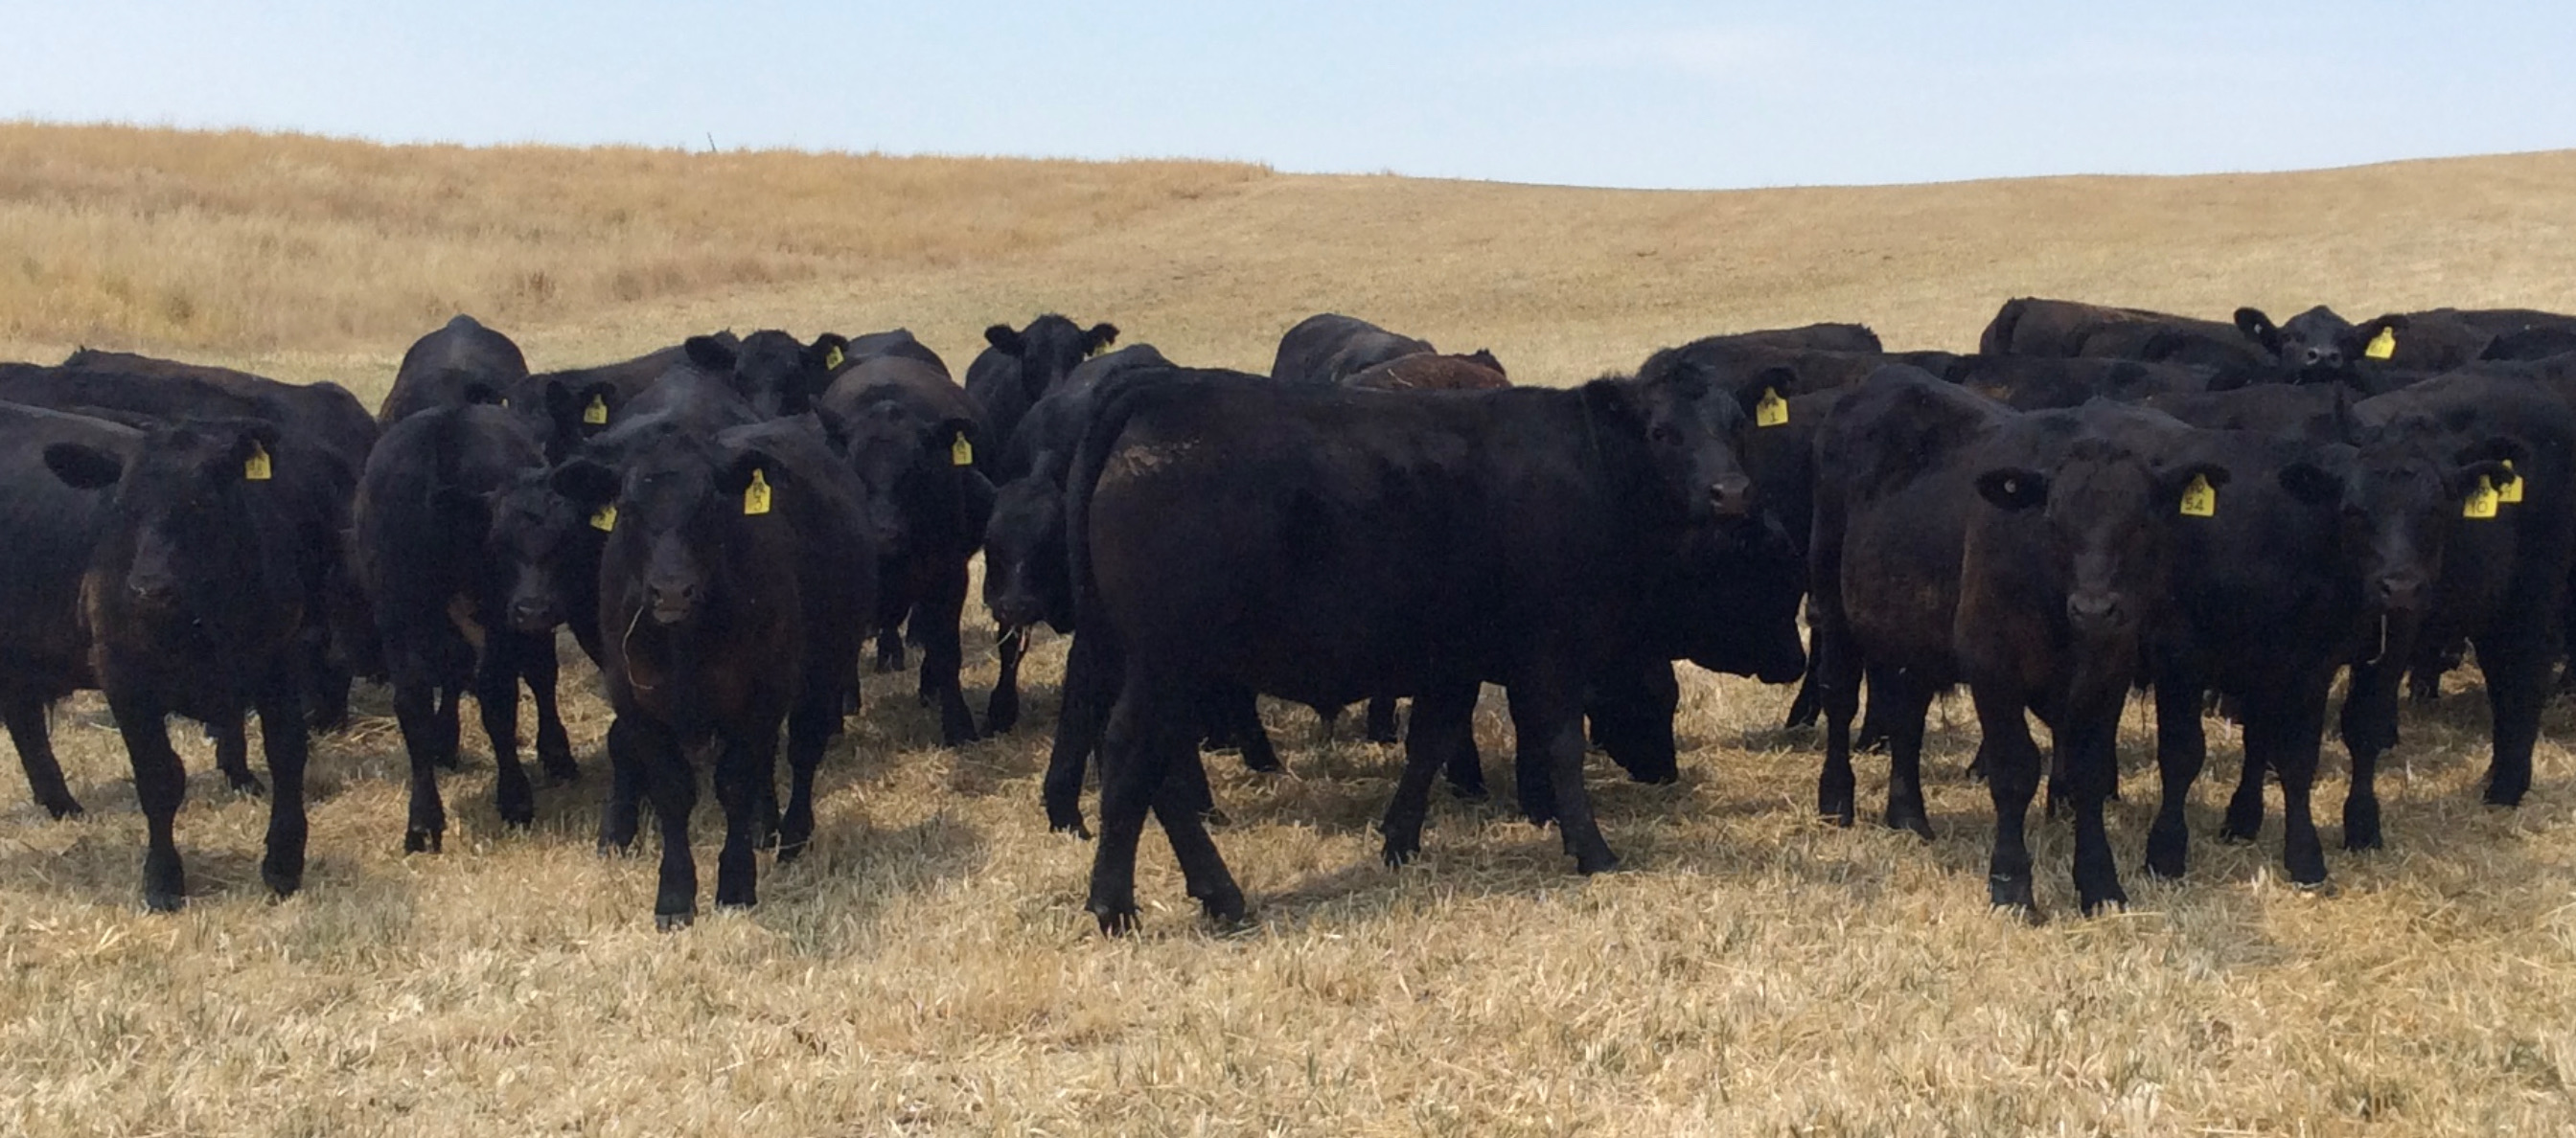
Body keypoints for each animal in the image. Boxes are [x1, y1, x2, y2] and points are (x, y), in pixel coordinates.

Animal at [43, 417, 315, 911]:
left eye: (201, 503)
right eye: (123, 506)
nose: (149, 588)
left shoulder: (281, 661)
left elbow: (287, 755)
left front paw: (284, 863)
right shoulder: (123, 679)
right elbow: (158, 776)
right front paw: (163, 879)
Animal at [547, 414, 877, 926]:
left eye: (708, 505)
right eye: (627, 507)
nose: (672, 591)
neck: (684, 642)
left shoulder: (763, 689)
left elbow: (734, 782)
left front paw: (737, 884)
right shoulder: (634, 698)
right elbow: (672, 788)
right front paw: (675, 896)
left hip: (823, 669)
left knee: (802, 751)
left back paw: (792, 836)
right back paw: (765, 826)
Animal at [818, 355, 992, 744]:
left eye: (916, 468)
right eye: (854, 467)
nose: (884, 535)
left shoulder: (949, 575)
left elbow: (945, 650)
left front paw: (958, 724)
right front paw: (837, 713)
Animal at [1063, 365, 1765, 932]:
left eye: (1737, 426)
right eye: (1663, 433)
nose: (1732, 492)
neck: (1589, 464)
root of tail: (1160, 390)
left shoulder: (1452, 659)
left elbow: (1429, 743)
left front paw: (1399, 842)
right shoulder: (1552, 650)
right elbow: (1562, 747)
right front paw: (1592, 851)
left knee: (1157, 770)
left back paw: (1217, 895)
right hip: (1167, 661)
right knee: (1132, 754)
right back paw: (1115, 905)